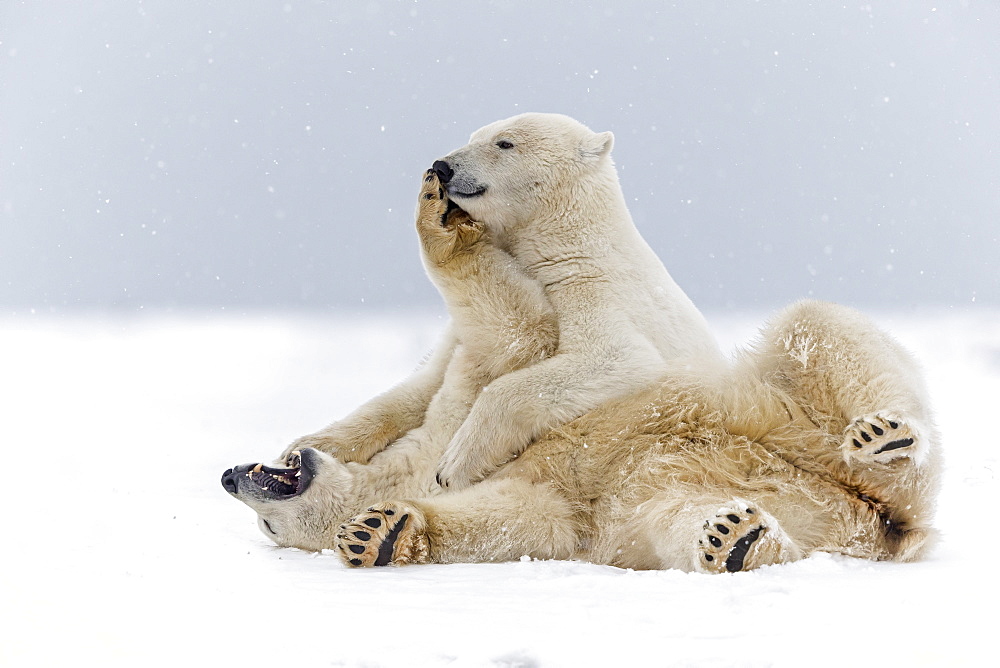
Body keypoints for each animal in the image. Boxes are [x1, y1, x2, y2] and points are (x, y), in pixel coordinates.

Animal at [223, 170, 940, 572]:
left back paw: (885, 436)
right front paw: (379, 533)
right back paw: (736, 539)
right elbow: (526, 518)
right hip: (680, 498)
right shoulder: (547, 502)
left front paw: (441, 217)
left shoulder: (451, 417)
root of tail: (881, 526)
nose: (231, 477)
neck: (400, 471)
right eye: (267, 529)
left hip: (791, 421)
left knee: (818, 330)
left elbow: (513, 344)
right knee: (674, 514)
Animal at [278, 113, 724, 490]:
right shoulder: (462, 328)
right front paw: (306, 444)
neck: (557, 243)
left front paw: (454, 463)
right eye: (474, 135)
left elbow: (615, 357)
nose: (442, 166)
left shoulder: (594, 287)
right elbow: (422, 383)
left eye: (504, 142)